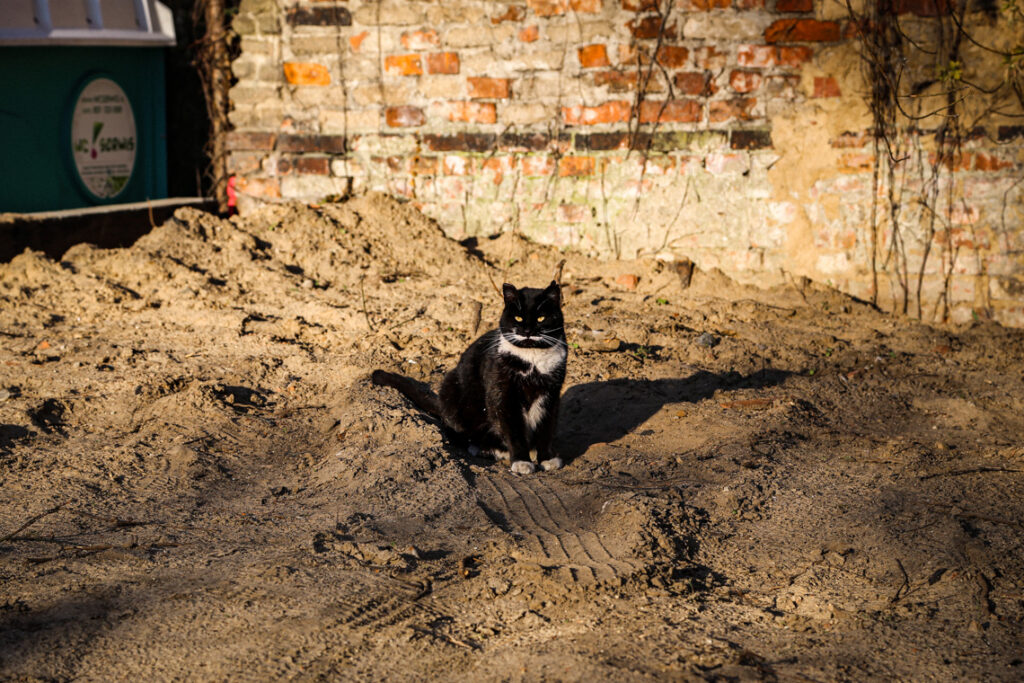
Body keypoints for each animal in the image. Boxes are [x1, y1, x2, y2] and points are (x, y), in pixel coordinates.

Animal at [372, 280, 569, 473]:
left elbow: (546, 428)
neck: (532, 360)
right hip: (451, 388)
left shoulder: (552, 393)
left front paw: (547, 458)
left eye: (541, 318)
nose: (527, 331)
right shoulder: (503, 392)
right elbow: (513, 428)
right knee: (457, 433)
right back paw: (487, 449)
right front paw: (521, 461)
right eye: (518, 318)